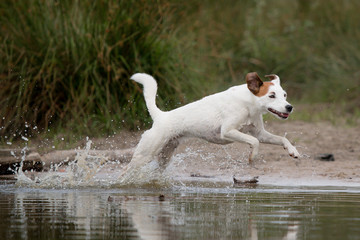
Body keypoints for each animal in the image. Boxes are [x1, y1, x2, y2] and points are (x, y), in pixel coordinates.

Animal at [125, 71, 300, 174]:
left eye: (284, 95)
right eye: (271, 95)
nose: (289, 107)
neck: (248, 103)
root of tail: (161, 116)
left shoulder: (260, 133)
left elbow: (282, 139)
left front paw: (292, 150)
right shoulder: (228, 131)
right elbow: (254, 142)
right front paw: (252, 156)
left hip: (164, 155)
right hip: (144, 155)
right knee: (126, 170)